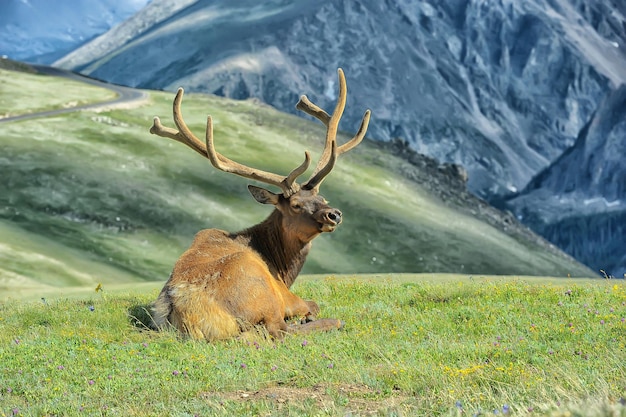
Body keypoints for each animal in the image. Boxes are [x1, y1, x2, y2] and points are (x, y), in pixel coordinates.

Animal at [149, 69, 368, 342]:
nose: (334, 214)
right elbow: (312, 305)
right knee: (280, 331)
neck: (283, 269)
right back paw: (330, 321)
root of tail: (190, 315)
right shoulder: (287, 296)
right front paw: (310, 315)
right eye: (296, 205)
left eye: (323, 198)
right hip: (263, 294)